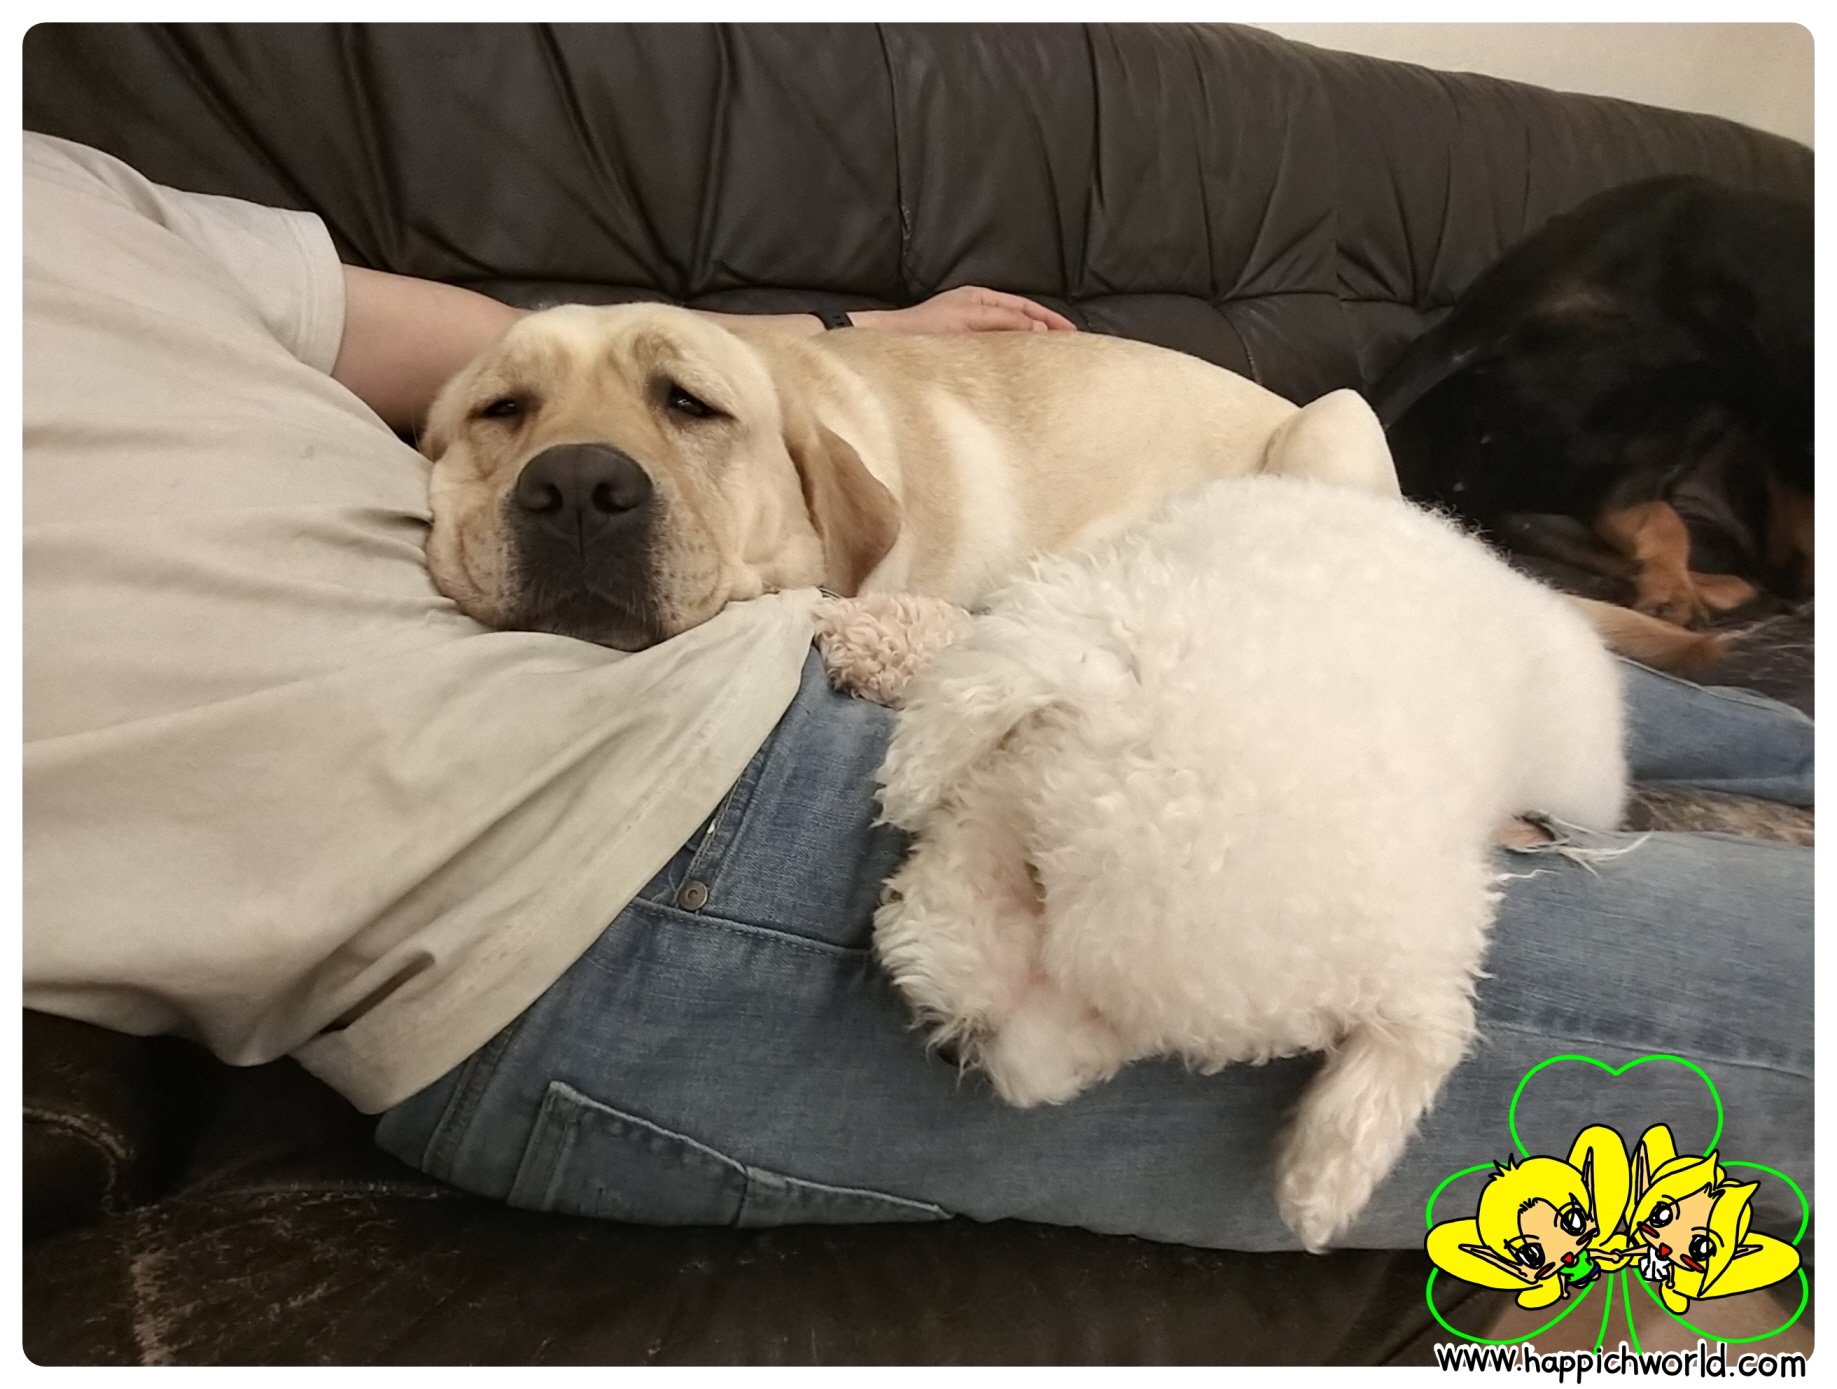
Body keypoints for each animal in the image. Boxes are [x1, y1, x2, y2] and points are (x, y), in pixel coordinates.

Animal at [1373, 175, 1812, 628]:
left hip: (1700, 403)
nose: (1798, 597)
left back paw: (1688, 588)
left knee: (1624, 511)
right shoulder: (1459, 339)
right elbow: (1376, 413)